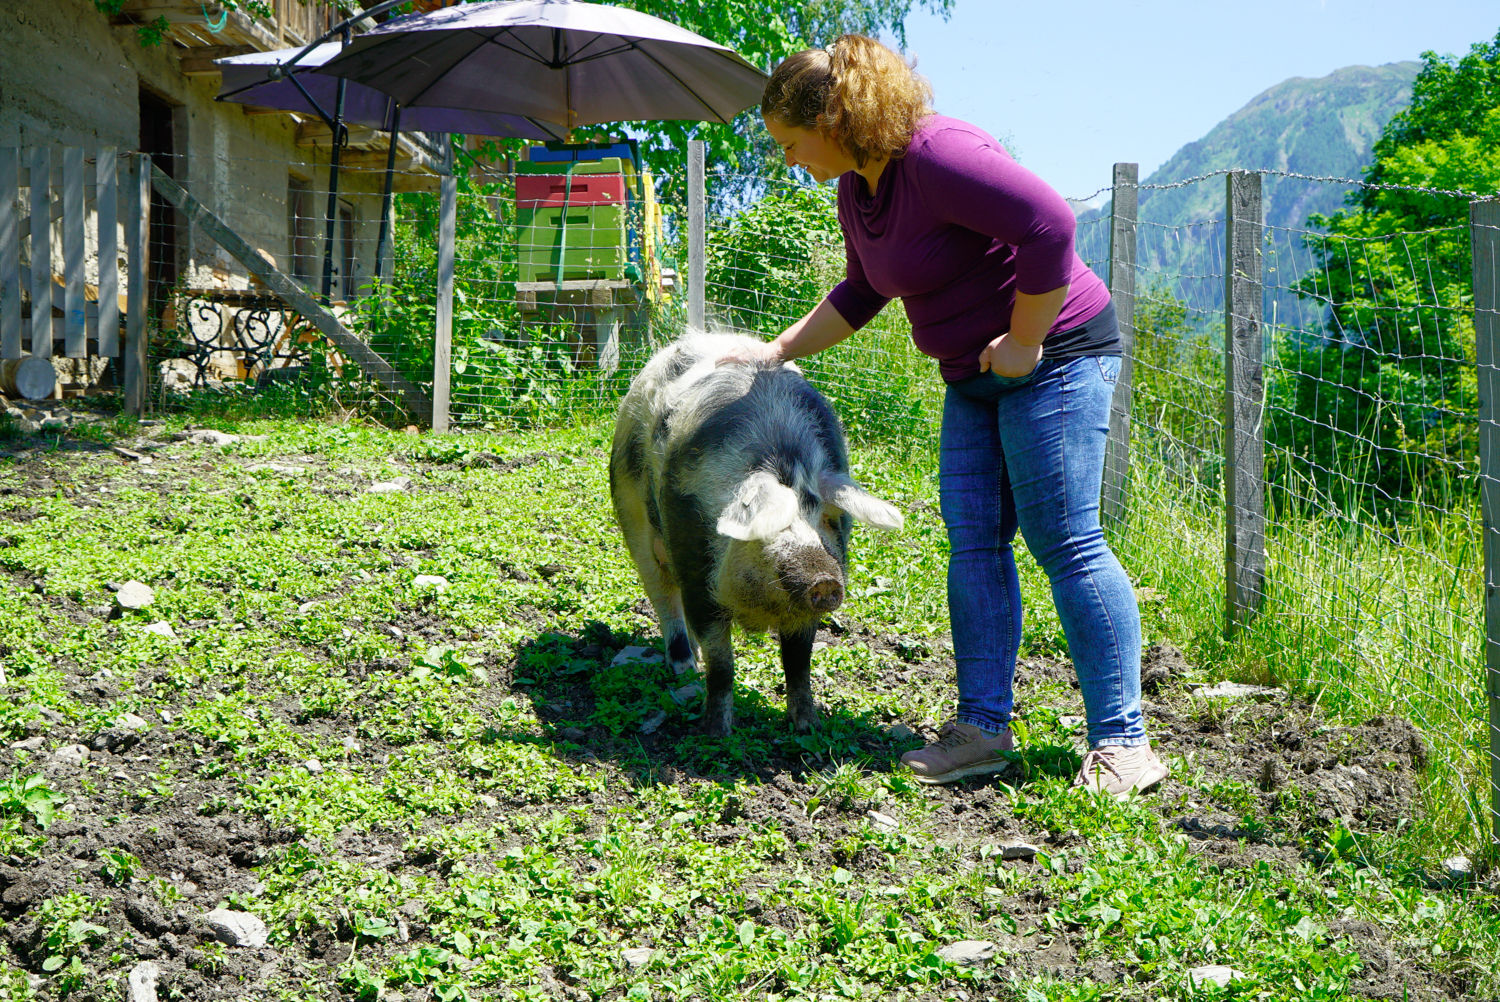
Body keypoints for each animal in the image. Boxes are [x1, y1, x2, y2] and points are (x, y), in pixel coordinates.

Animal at [609, 333, 900, 732]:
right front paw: (716, 732)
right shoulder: (696, 569)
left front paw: (808, 726)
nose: (824, 580)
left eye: (827, 519)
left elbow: (798, 662)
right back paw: (685, 667)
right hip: (630, 504)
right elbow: (721, 665)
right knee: (662, 594)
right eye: (771, 524)